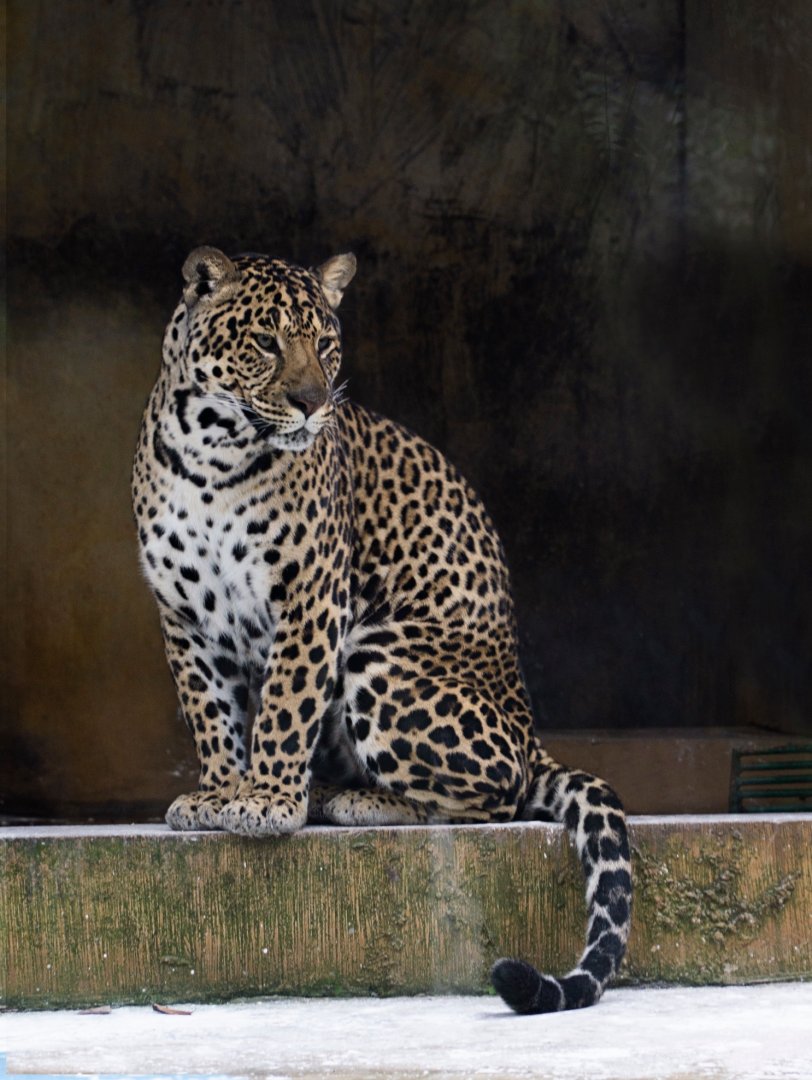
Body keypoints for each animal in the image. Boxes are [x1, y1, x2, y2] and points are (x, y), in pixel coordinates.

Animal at [132, 245, 632, 1014]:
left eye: (325, 344)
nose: (311, 402)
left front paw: (267, 801)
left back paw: (352, 800)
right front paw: (220, 792)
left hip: (381, 658)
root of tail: (532, 736)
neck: (212, 454)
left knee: (499, 798)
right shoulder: (184, 615)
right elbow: (212, 714)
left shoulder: (311, 596)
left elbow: (284, 708)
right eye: (266, 342)